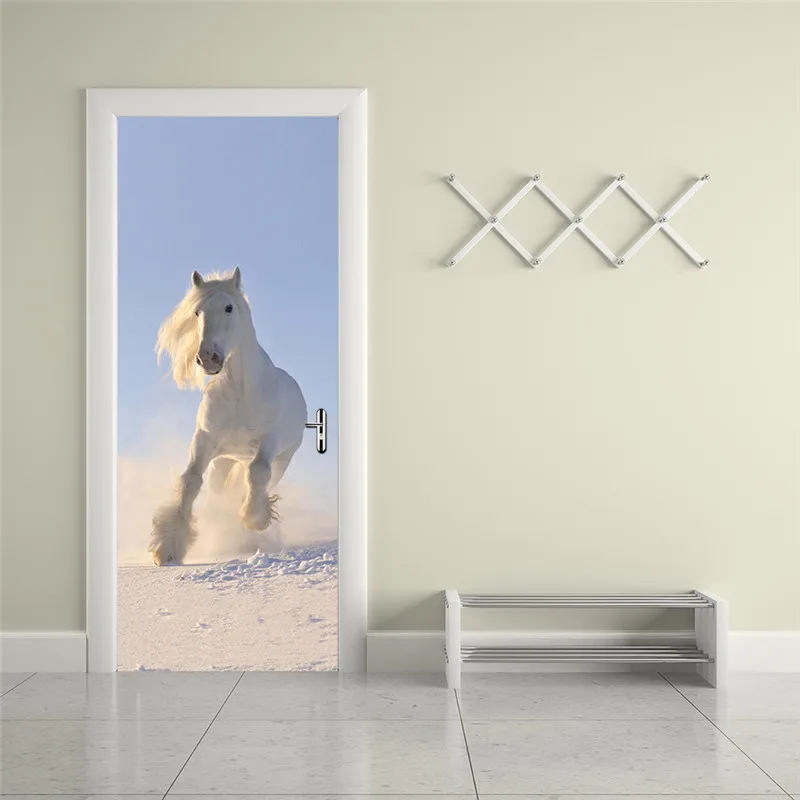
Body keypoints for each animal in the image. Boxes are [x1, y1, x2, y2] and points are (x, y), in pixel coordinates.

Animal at [148, 267, 307, 566]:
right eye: (197, 312)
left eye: (229, 308)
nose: (207, 357)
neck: (239, 392)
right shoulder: (205, 440)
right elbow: (190, 481)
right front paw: (168, 547)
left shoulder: (268, 441)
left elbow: (257, 475)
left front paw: (254, 520)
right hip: (223, 461)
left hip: (283, 458)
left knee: (262, 480)